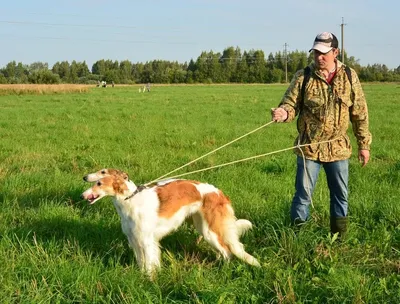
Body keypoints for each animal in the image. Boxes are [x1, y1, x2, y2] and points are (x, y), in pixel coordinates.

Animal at [81, 169, 260, 278]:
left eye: (100, 180)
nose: (82, 194)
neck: (130, 199)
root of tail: (219, 193)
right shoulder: (134, 239)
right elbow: (142, 262)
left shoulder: (146, 240)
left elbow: (149, 265)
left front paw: (149, 281)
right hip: (203, 228)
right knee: (223, 251)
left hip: (211, 231)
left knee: (228, 252)